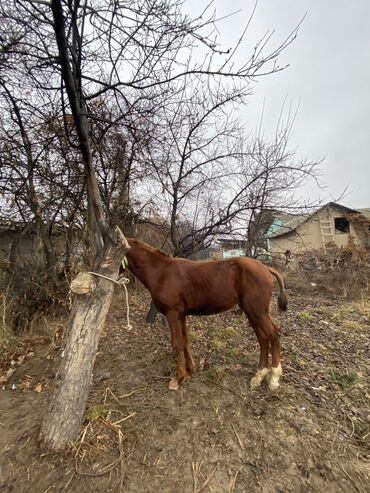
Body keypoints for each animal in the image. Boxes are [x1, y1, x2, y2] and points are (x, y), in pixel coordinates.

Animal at [120, 236, 288, 390]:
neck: (161, 272)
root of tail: (265, 268)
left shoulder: (172, 315)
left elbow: (176, 344)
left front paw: (177, 379)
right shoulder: (181, 315)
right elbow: (185, 341)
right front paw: (189, 372)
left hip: (257, 312)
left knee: (273, 335)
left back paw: (273, 378)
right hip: (252, 313)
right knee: (263, 338)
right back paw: (259, 376)